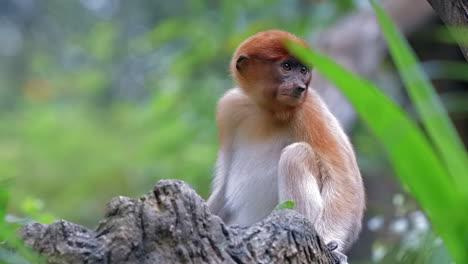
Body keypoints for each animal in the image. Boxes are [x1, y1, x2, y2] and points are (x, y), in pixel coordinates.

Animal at [208, 29, 366, 262]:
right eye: (287, 66)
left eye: (303, 70)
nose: (300, 87)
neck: (267, 111)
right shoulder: (229, 107)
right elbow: (224, 181)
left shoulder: (308, 109)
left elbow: (345, 181)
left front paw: (332, 244)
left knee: (296, 154)